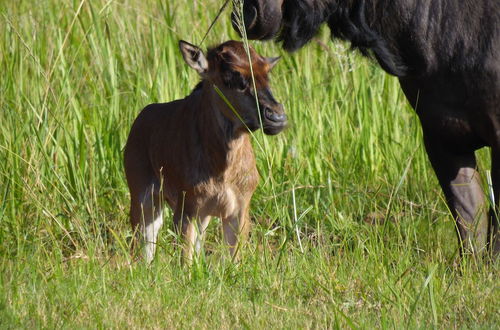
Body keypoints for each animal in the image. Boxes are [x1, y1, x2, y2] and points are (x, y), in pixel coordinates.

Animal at [124, 40, 286, 262]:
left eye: (266, 72)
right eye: (230, 75)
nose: (277, 117)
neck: (222, 169)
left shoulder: (238, 210)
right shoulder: (187, 210)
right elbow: (185, 260)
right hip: (143, 199)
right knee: (144, 247)